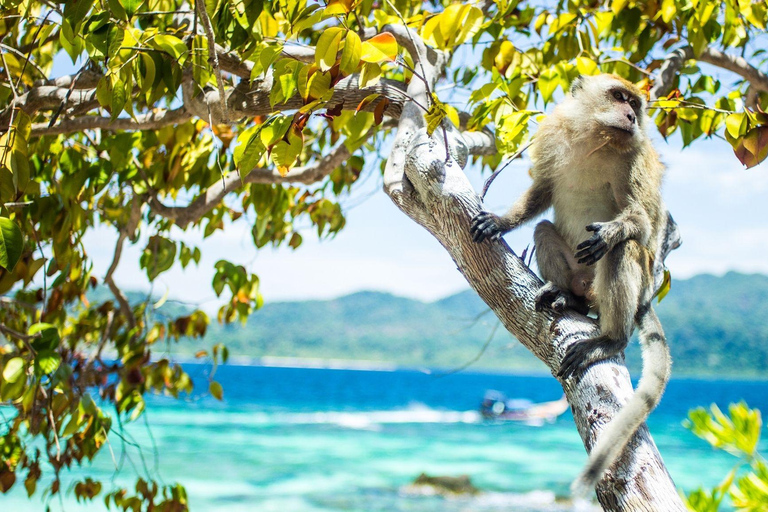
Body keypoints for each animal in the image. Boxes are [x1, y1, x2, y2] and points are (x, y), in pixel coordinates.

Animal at [464, 74, 668, 494]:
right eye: (619, 97)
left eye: (635, 105)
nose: (630, 116)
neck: (596, 138)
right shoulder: (553, 134)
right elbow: (542, 190)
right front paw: (502, 221)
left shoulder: (635, 158)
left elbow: (641, 220)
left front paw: (612, 231)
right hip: (577, 273)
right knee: (544, 228)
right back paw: (567, 297)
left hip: (633, 277)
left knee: (624, 251)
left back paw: (611, 338)